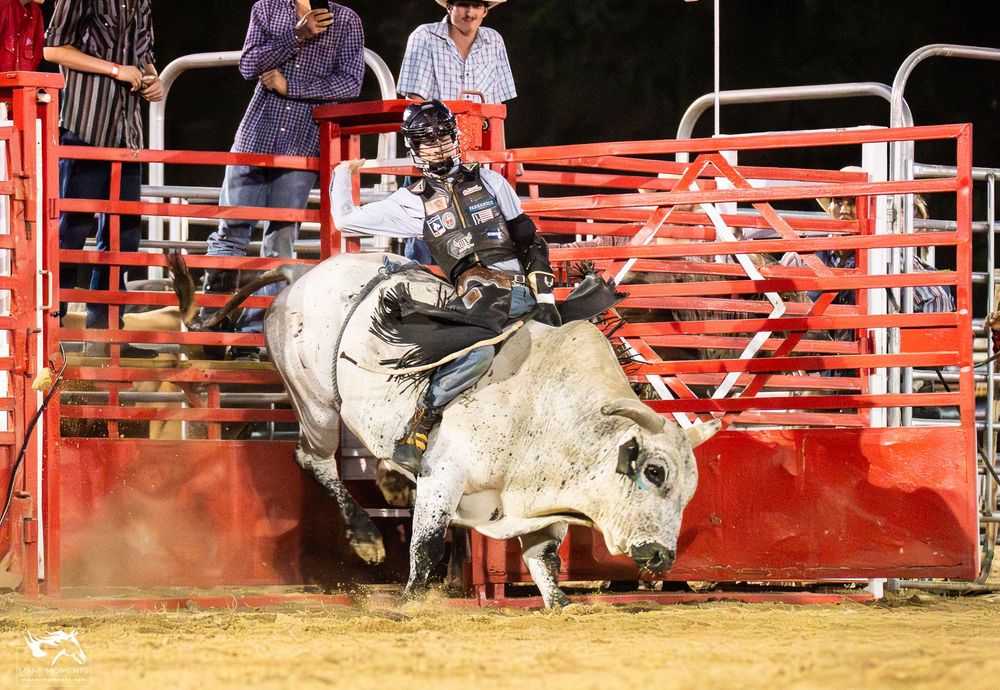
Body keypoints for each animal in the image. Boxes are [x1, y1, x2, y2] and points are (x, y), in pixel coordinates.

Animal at [168, 251, 720, 608]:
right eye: (653, 471)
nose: (661, 557)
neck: (548, 407)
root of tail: (303, 271)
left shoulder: (534, 497)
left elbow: (544, 557)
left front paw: (561, 603)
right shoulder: (445, 473)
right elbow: (428, 543)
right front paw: (414, 599)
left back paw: (391, 481)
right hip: (317, 402)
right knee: (314, 457)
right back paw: (366, 536)